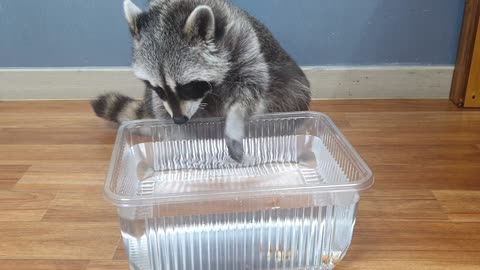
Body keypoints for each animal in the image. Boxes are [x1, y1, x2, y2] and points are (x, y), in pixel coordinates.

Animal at [92, 0, 312, 160]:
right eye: (158, 88)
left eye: (187, 87)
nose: (179, 120)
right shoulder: (160, 99)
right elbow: (163, 110)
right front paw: (180, 140)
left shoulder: (243, 42)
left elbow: (251, 87)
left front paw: (235, 121)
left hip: (291, 87)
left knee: (290, 97)